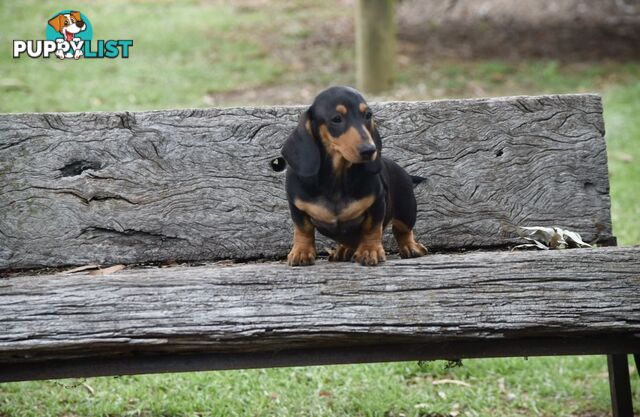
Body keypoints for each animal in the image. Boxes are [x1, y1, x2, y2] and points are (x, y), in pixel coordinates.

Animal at [282, 85, 428, 264]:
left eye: (368, 115)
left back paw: (410, 247)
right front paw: (301, 252)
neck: (337, 178)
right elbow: (303, 230)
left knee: (403, 230)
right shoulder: (297, 207)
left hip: (406, 210)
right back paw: (343, 250)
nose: (370, 150)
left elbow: (372, 229)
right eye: (336, 119)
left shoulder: (376, 204)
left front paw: (370, 251)